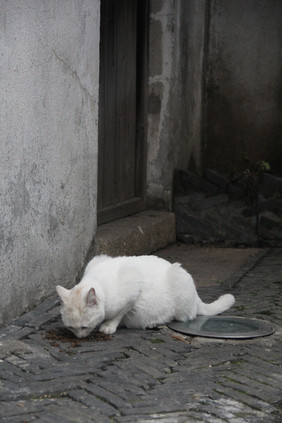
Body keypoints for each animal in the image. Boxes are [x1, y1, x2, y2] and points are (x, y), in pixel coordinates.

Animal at [56, 253, 235, 340]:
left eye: (84, 327)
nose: (79, 337)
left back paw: (154, 322)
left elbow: (119, 314)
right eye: (71, 328)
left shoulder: (133, 285)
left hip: (179, 277)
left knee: (181, 317)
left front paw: (109, 326)